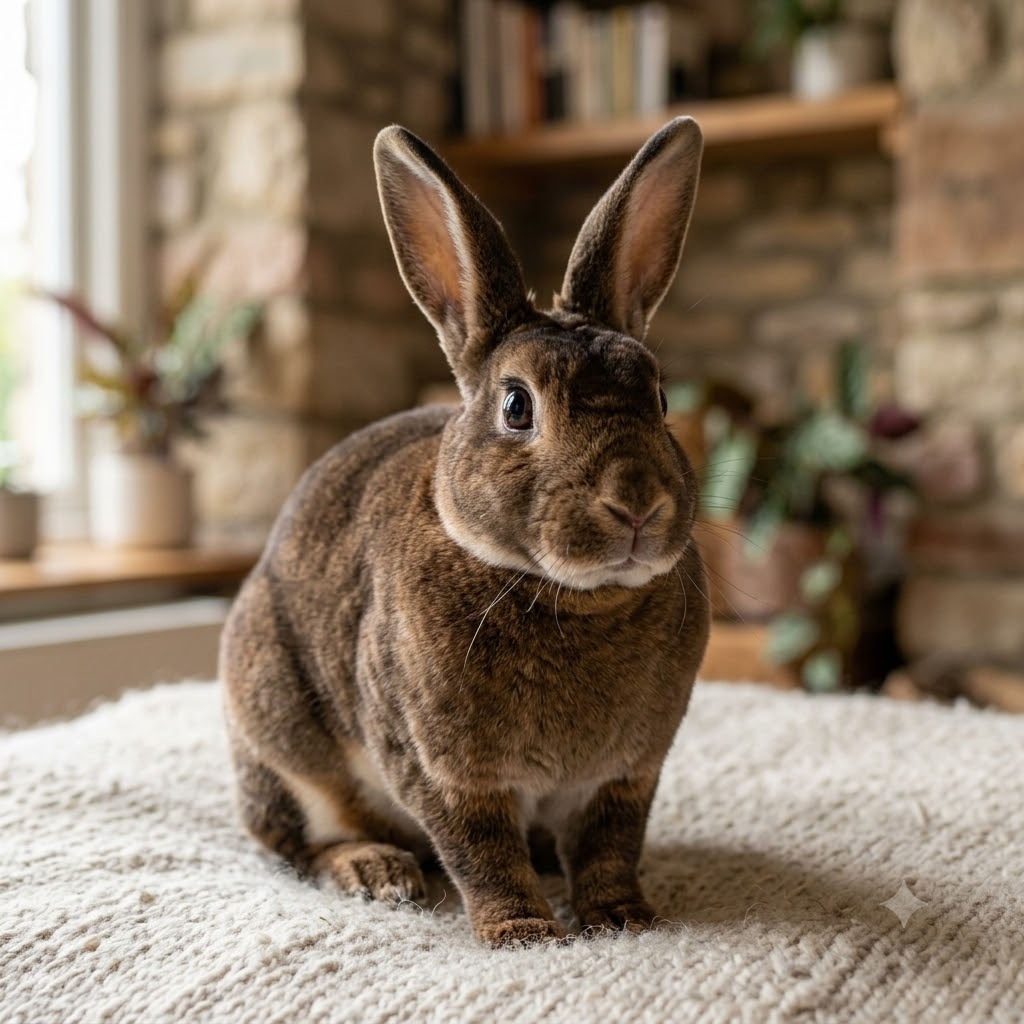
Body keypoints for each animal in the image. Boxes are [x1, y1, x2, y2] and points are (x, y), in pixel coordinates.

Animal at [220, 115, 709, 948]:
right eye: (516, 406)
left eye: (663, 399)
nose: (636, 504)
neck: (568, 594)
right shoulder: (442, 770)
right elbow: (480, 851)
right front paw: (523, 932)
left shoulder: (628, 774)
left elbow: (611, 844)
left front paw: (622, 920)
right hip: (280, 740)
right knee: (302, 842)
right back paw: (378, 872)